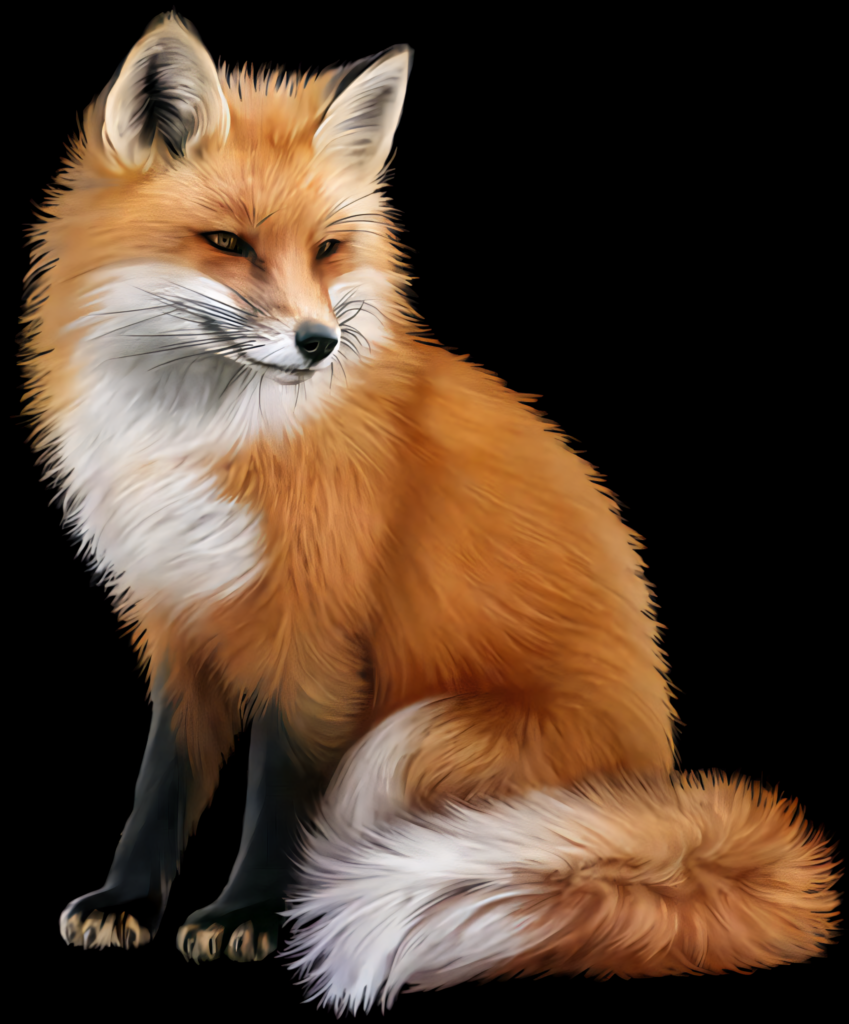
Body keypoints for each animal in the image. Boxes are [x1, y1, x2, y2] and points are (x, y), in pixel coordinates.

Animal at [19, 9, 840, 1015]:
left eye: (328, 250)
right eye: (227, 242)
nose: (318, 343)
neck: (206, 436)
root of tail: (650, 781)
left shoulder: (318, 638)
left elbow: (276, 794)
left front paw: (247, 916)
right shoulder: (177, 619)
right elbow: (162, 783)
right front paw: (126, 903)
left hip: (406, 738)